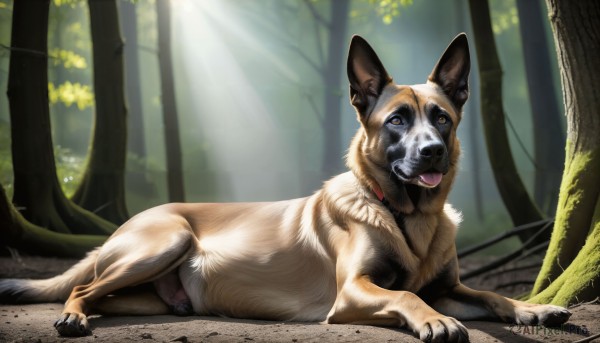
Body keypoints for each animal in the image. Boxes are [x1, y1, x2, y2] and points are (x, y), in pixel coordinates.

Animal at [1, 33, 572, 342]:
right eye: (397, 120)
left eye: (442, 118)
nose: (432, 151)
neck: (407, 215)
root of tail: (128, 223)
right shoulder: (355, 290)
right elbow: (409, 296)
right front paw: (435, 322)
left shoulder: (450, 288)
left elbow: (491, 294)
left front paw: (535, 308)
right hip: (167, 240)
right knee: (79, 289)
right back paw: (72, 317)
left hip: (148, 298)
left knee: (100, 294)